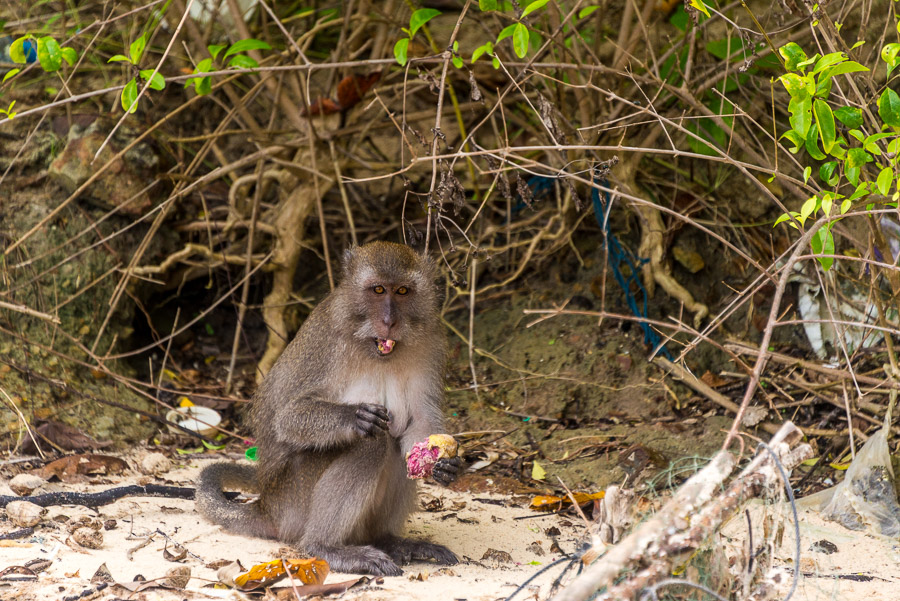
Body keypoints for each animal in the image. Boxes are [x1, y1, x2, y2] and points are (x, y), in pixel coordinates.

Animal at [197, 241, 464, 576]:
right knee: (371, 444)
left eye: (402, 291)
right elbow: (287, 416)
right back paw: (325, 547)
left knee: (393, 446)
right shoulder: (325, 342)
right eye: (378, 290)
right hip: (293, 501)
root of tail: (266, 506)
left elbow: (420, 419)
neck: (373, 347)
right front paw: (353, 417)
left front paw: (443, 463)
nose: (389, 321)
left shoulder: (430, 343)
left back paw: (389, 540)